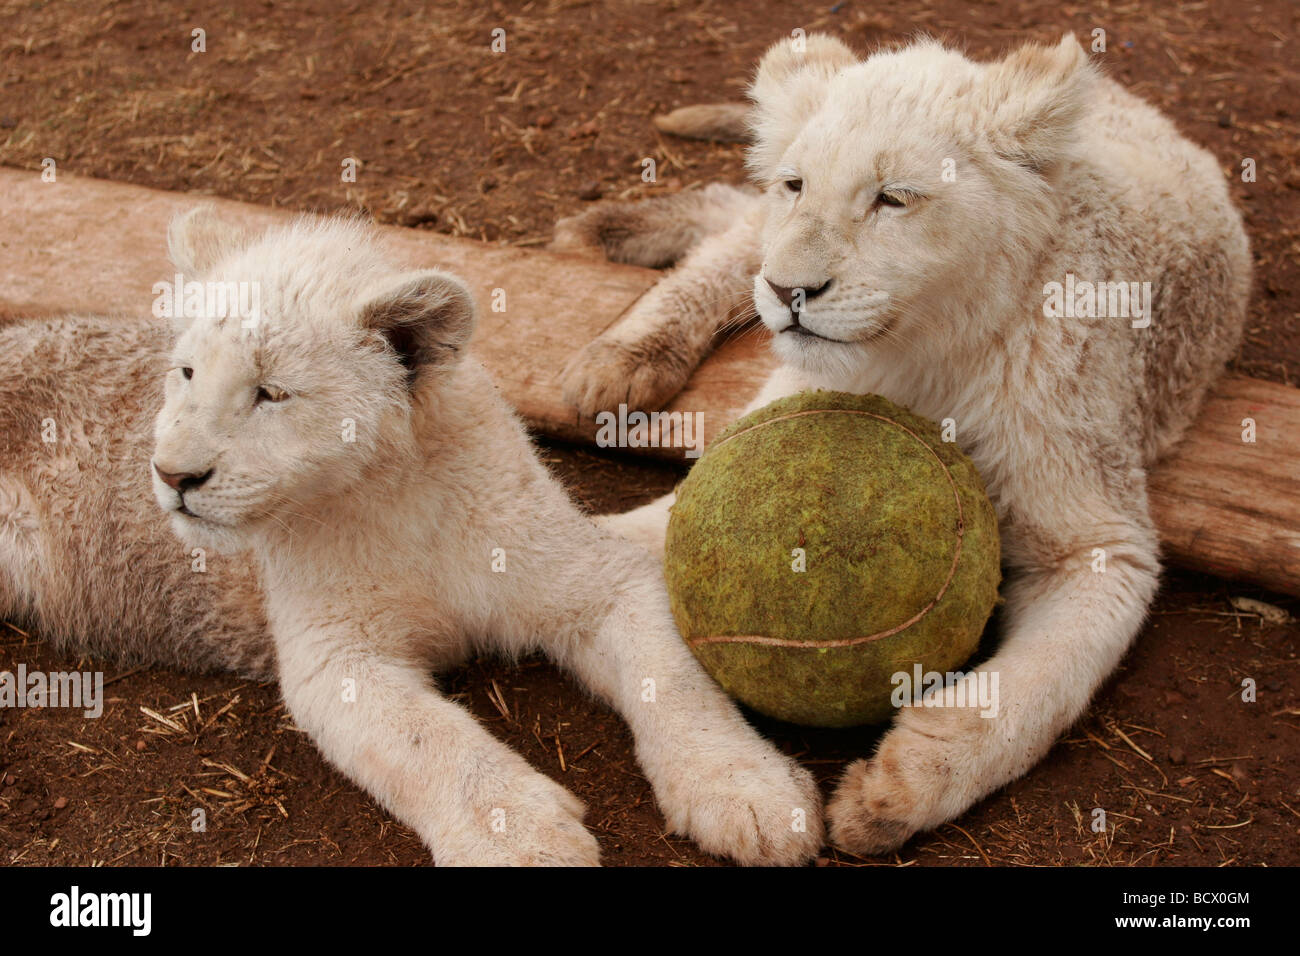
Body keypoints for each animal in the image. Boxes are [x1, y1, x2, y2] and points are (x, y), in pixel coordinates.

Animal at [1, 210, 823, 866]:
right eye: (186, 373)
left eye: (271, 393)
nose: (172, 475)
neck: (389, 495)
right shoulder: (334, 657)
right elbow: (432, 743)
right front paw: (524, 838)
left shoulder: (592, 575)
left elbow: (674, 680)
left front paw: (750, 791)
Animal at [553, 33, 1252, 855]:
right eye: (797, 185)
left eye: (893, 198)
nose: (789, 293)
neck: (923, 352)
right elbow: (633, 540)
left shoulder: (1101, 544)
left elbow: (1024, 696)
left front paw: (893, 792)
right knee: (729, 238)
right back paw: (615, 340)